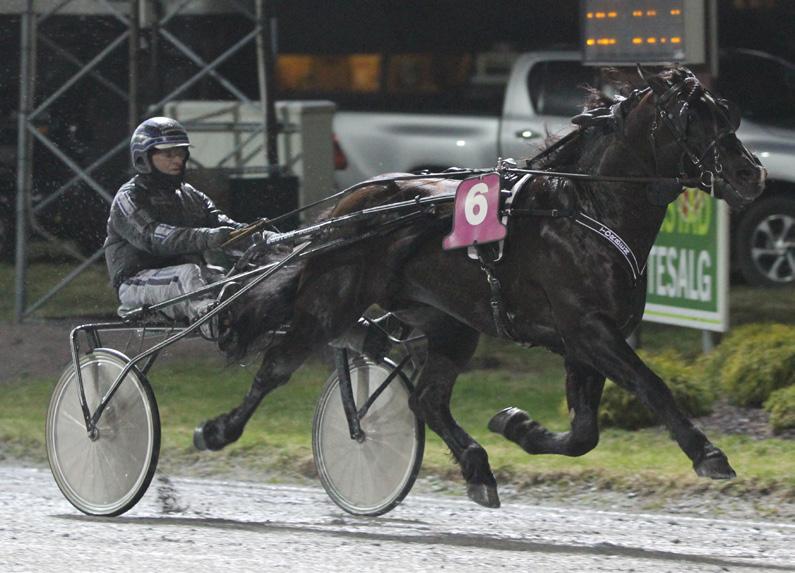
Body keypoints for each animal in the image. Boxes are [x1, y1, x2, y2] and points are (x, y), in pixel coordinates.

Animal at [193, 65, 764, 508]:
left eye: (727, 114)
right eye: (691, 120)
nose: (750, 174)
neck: (586, 211)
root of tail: (345, 208)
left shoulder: (584, 341)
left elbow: (583, 433)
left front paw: (517, 426)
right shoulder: (589, 330)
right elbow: (651, 386)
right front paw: (708, 453)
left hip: (450, 324)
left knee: (427, 400)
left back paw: (477, 467)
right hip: (328, 304)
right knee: (276, 367)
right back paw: (217, 429)